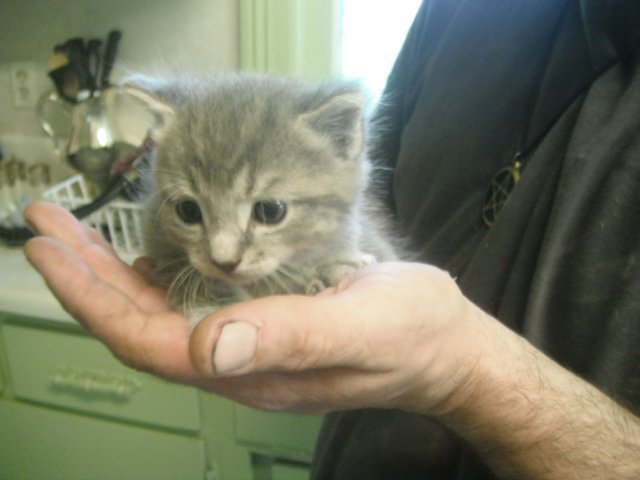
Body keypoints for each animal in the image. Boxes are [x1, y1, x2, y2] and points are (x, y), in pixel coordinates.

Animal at [127, 73, 398, 324]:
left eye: (270, 211)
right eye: (188, 211)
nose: (224, 262)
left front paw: (331, 269)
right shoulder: (158, 238)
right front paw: (215, 308)